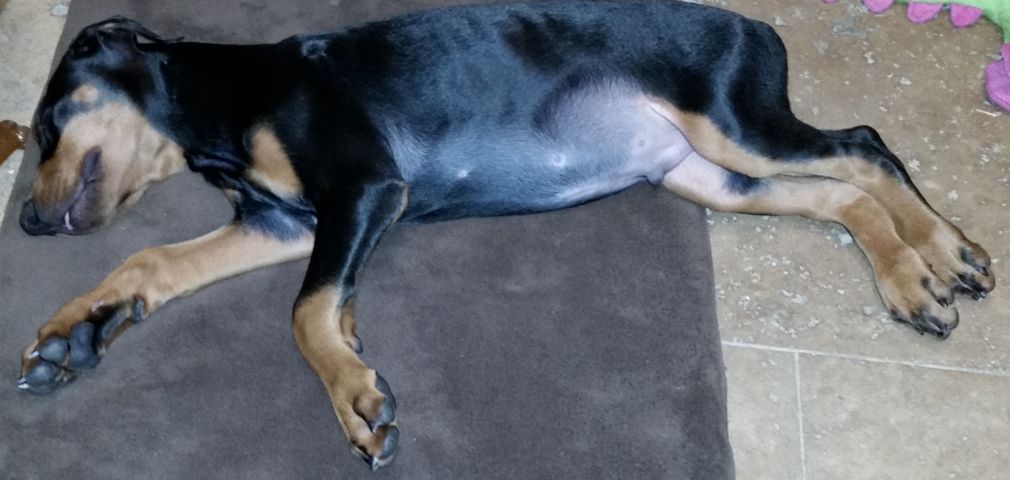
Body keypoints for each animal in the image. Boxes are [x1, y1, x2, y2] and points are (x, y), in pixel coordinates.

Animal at [16, 1, 994, 470]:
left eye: (49, 123)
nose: (23, 219)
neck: (223, 102)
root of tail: (755, 24)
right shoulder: (287, 222)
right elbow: (155, 256)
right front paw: (72, 334)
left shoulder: (366, 189)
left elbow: (303, 313)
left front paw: (355, 395)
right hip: (706, 173)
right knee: (838, 197)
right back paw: (914, 278)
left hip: (733, 124)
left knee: (863, 148)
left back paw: (943, 256)